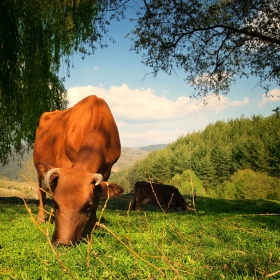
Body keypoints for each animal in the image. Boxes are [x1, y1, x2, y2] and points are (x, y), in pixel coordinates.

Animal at [34, 95, 123, 246]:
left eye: (87, 207)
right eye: (55, 203)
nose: (63, 243)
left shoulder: (108, 169)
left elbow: (97, 197)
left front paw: (92, 226)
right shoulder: (63, 162)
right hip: (38, 170)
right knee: (41, 192)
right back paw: (41, 218)